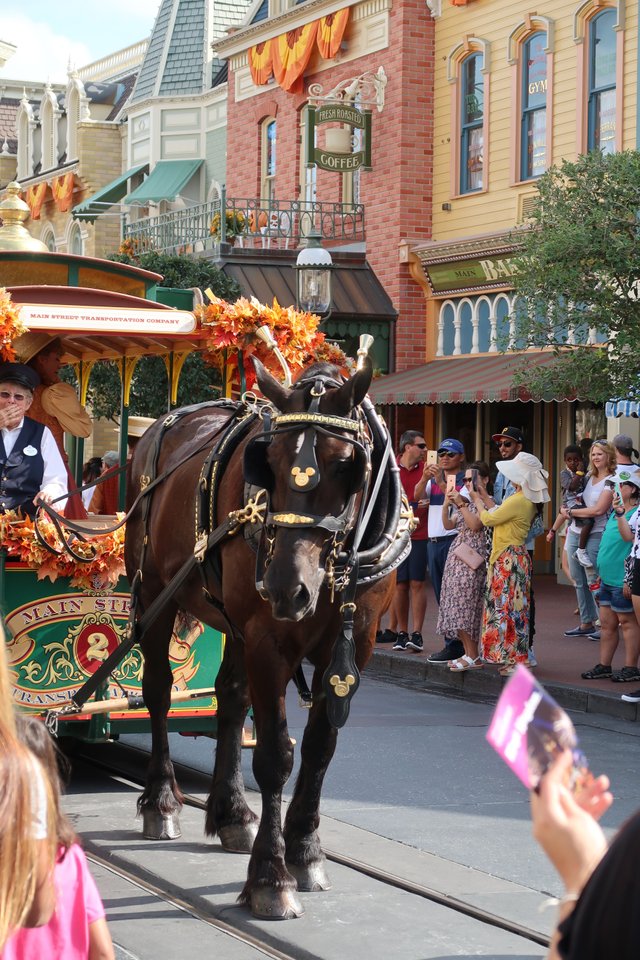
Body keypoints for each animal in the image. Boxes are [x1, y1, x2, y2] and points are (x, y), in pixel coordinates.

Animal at [122, 356, 408, 920]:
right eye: (268, 462)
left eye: (346, 465)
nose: (284, 587)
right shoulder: (268, 641)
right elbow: (276, 756)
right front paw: (271, 879)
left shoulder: (354, 646)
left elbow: (319, 748)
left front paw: (306, 851)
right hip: (155, 593)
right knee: (159, 692)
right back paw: (161, 801)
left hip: (232, 623)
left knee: (230, 699)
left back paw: (232, 812)